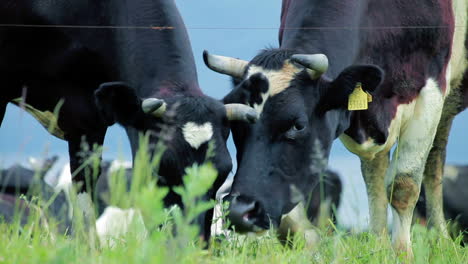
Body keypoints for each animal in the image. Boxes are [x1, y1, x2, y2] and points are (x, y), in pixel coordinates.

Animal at [205, 0, 468, 256]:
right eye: (235, 123)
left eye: (298, 125)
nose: (239, 211)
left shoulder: (431, 89)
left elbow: (403, 185)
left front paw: (403, 255)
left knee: (434, 159)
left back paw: (440, 240)